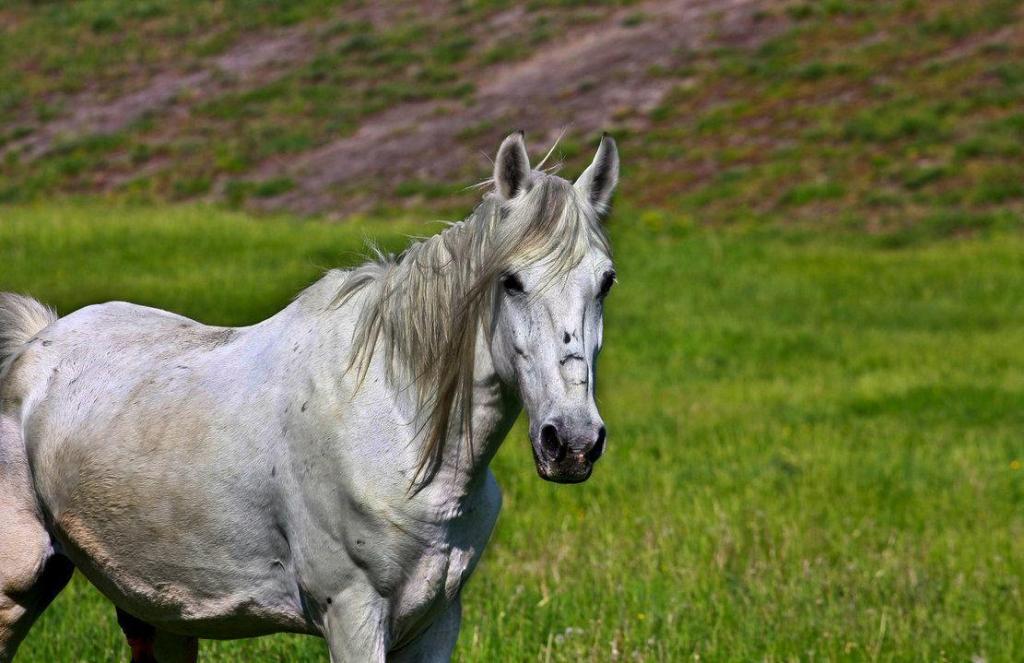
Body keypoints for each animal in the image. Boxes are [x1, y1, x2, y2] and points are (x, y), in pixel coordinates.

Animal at [0, 132, 614, 659]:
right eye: (510, 280)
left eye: (606, 281)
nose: (572, 443)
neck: (396, 425)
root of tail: (33, 343)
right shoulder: (353, 616)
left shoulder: (438, 622)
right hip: (18, 588)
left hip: (160, 610)